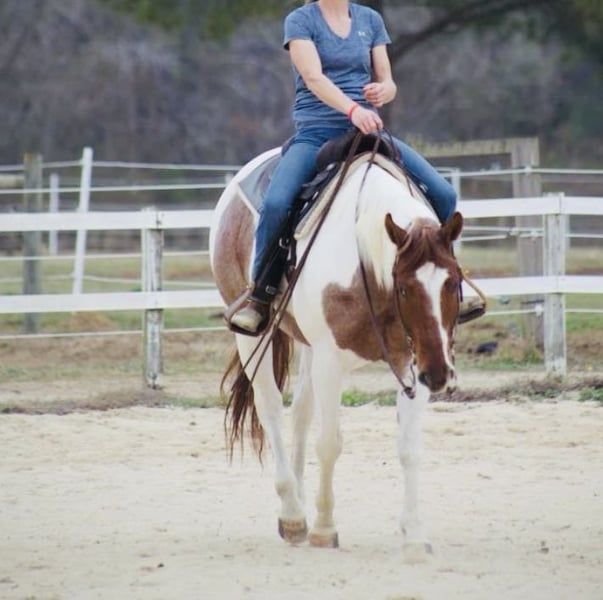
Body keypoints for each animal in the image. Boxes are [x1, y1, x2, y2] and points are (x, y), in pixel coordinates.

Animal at [209, 141, 463, 559]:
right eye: (405, 287)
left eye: (454, 282)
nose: (440, 374)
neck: (366, 266)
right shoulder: (331, 362)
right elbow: (329, 443)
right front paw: (325, 529)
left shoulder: (415, 360)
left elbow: (409, 448)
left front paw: (414, 535)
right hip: (251, 334)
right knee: (271, 407)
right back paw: (294, 514)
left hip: (309, 344)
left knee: (300, 411)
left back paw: (295, 503)